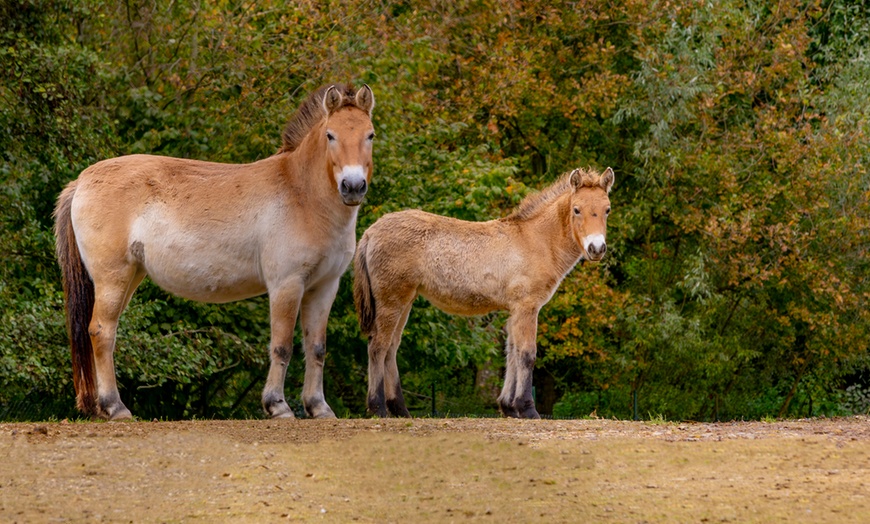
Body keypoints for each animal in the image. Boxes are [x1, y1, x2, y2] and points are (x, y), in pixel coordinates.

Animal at [54, 84, 374, 420]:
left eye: (370, 134)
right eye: (330, 135)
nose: (353, 186)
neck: (301, 194)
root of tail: (82, 181)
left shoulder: (324, 287)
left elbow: (316, 347)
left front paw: (318, 407)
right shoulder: (286, 285)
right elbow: (282, 345)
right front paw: (277, 405)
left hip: (128, 277)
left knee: (105, 331)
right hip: (112, 278)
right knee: (101, 331)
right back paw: (115, 407)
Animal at [354, 166, 612, 420]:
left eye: (607, 209)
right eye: (577, 209)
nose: (597, 248)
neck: (535, 240)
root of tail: (370, 232)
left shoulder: (514, 311)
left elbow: (511, 353)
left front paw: (508, 407)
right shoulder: (527, 307)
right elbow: (526, 354)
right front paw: (527, 408)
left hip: (405, 301)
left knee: (391, 347)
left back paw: (400, 409)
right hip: (391, 300)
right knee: (378, 346)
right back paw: (378, 408)